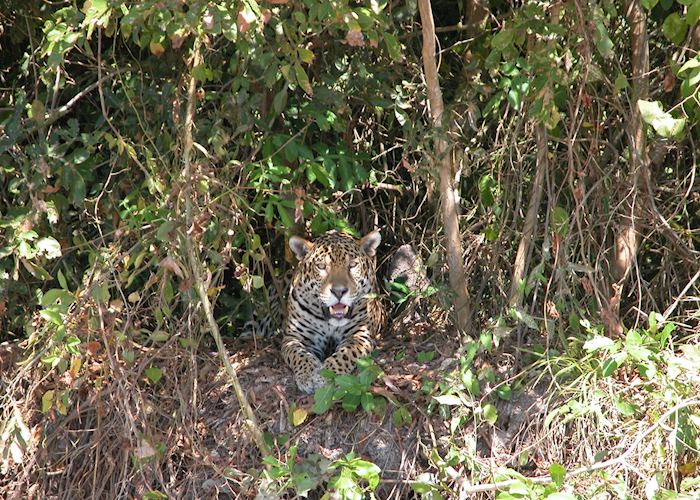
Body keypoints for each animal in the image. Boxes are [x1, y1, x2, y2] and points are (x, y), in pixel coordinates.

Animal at [281, 230, 386, 394]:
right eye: (321, 266)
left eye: (352, 265)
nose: (338, 291)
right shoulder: (293, 337)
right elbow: (299, 355)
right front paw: (307, 376)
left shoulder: (359, 335)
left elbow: (345, 354)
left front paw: (325, 376)